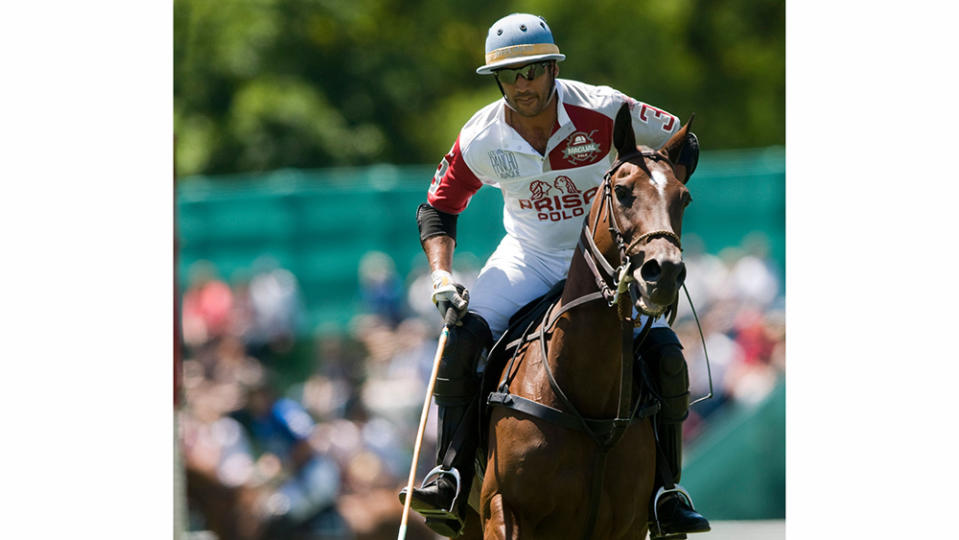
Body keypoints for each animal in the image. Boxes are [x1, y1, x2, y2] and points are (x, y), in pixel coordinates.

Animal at [454, 102, 692, 540]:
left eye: (684, 198)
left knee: (668, 358)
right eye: (622, 191)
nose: (663, 273)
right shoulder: (504, 512)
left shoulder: (628, 525)